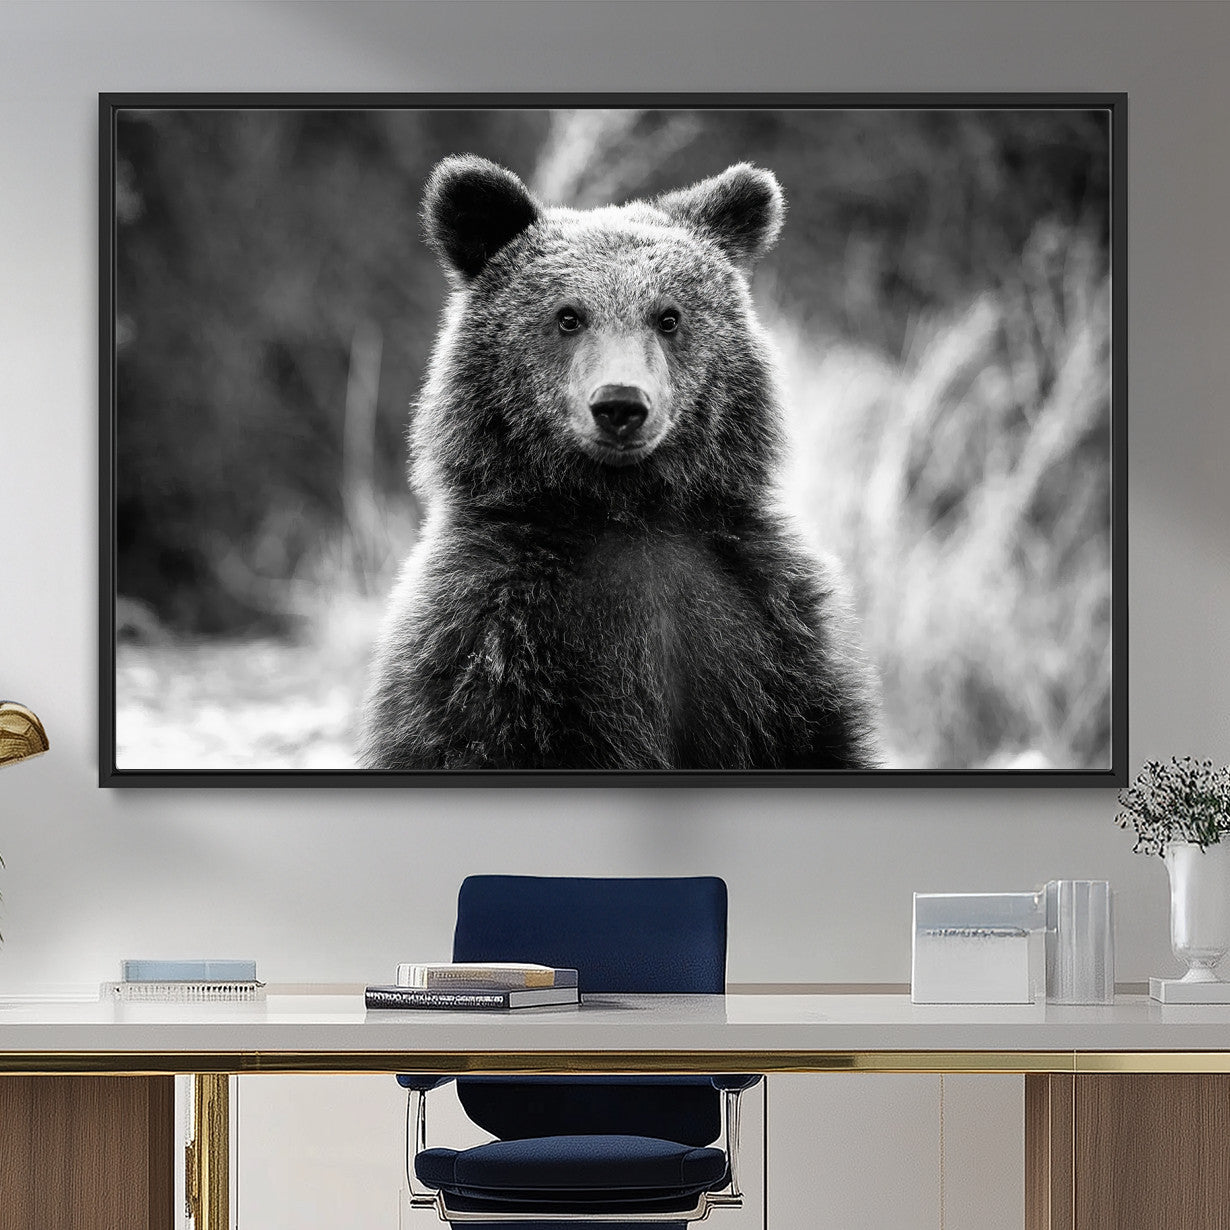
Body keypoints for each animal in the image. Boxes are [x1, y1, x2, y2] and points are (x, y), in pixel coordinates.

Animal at [359, 155, 880, 772]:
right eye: (568, 316)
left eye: (668, 316)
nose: (620, 405)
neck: (627, 512)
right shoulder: (489, 637)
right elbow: (464, 735)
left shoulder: (769, 628)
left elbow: (815, 734)